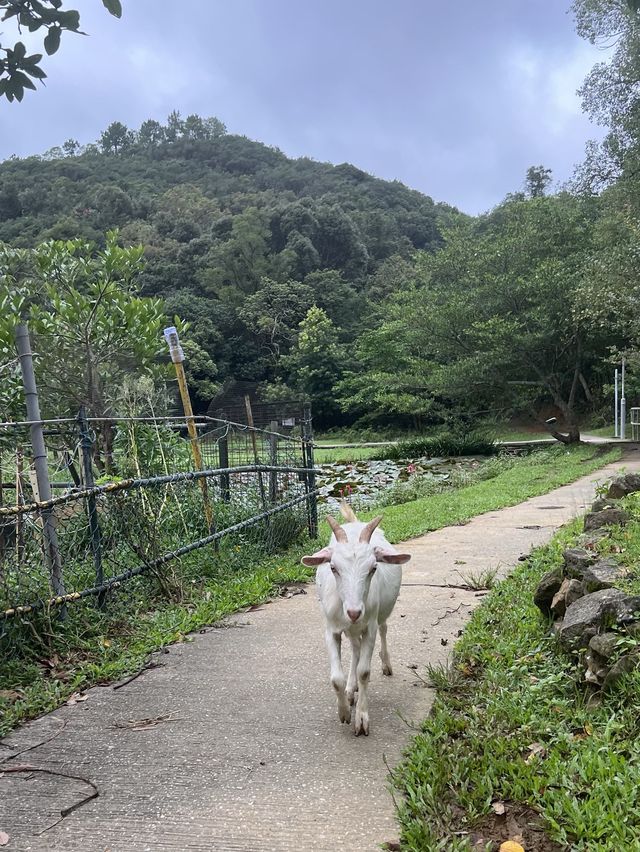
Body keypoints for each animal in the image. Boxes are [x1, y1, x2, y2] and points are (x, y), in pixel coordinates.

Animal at [302, 502, 412, 736]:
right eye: (333, 567)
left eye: (373, 568)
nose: (354, 612)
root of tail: (354, 523)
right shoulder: (331, 630)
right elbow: (336, 678)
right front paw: (344, 711)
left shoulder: (369, 627)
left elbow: (364, 672)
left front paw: (361, 719)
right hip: (351, 629)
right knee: (355, 647)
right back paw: (350, 689)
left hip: (380, 615)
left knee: (383, 629)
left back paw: (385, 664)